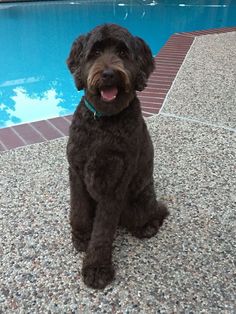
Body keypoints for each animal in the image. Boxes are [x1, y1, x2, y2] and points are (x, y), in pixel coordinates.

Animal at [67, 23, 168, 290]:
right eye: (95, 51)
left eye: (123, 53)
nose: (109, 74)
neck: (103, 121)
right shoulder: (76, 173)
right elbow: (78, 210)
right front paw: (81, 236)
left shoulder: (113, 185)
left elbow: (103, 231)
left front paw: (96, 269)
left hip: (139, 202)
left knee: (156, 213)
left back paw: (149, 225)